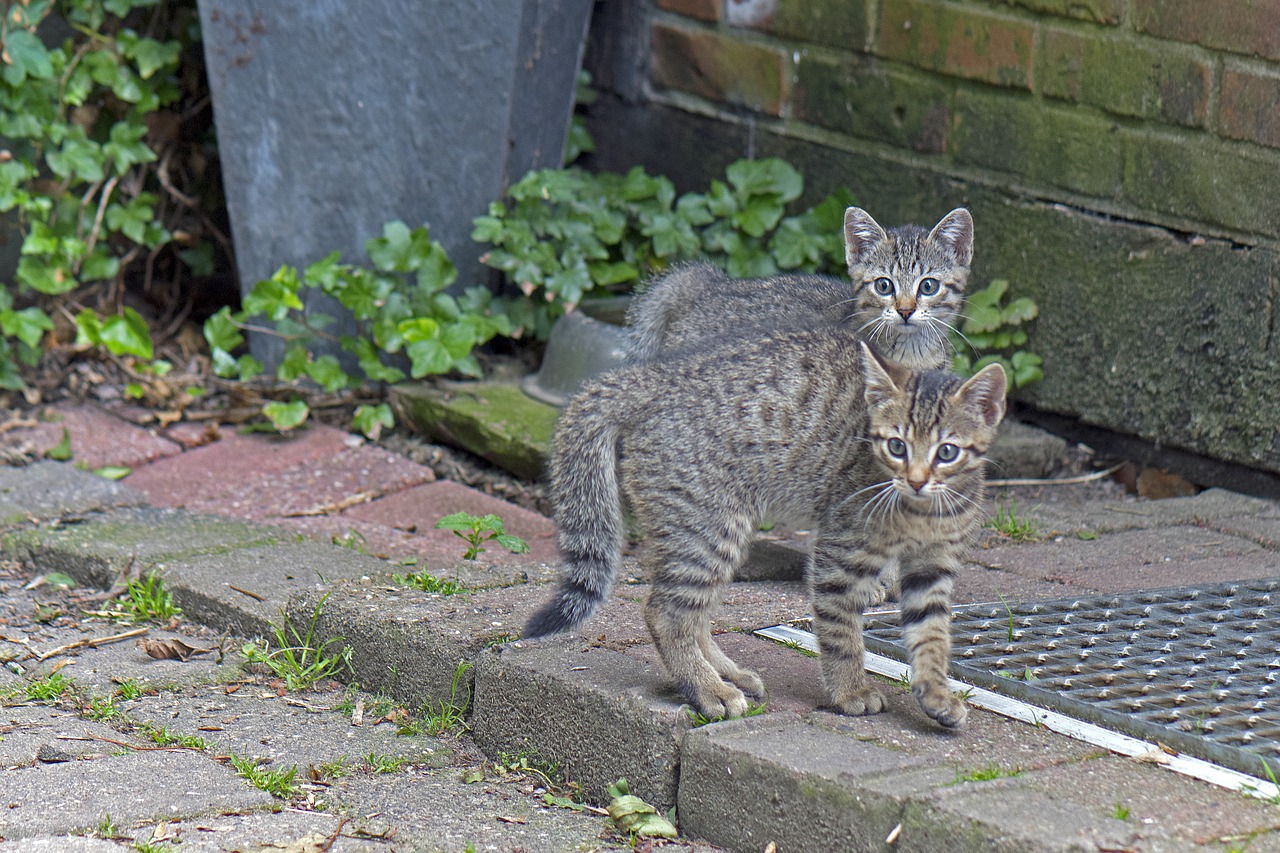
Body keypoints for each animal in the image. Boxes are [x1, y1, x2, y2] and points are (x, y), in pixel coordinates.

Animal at [524, 327, 1003, 727]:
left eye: (946, 452)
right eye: (896, 446)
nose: (917, 479)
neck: (920, 510)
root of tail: (657, 376)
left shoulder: (932, 567)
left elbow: (932, 634)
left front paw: (935, 693)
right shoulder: (839, 551)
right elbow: (841, 629)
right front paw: (849, 690)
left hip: (714, 531)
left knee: (693, 612)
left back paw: (724, 673)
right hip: (709, 525)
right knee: (665, 612)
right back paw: (708, 689)